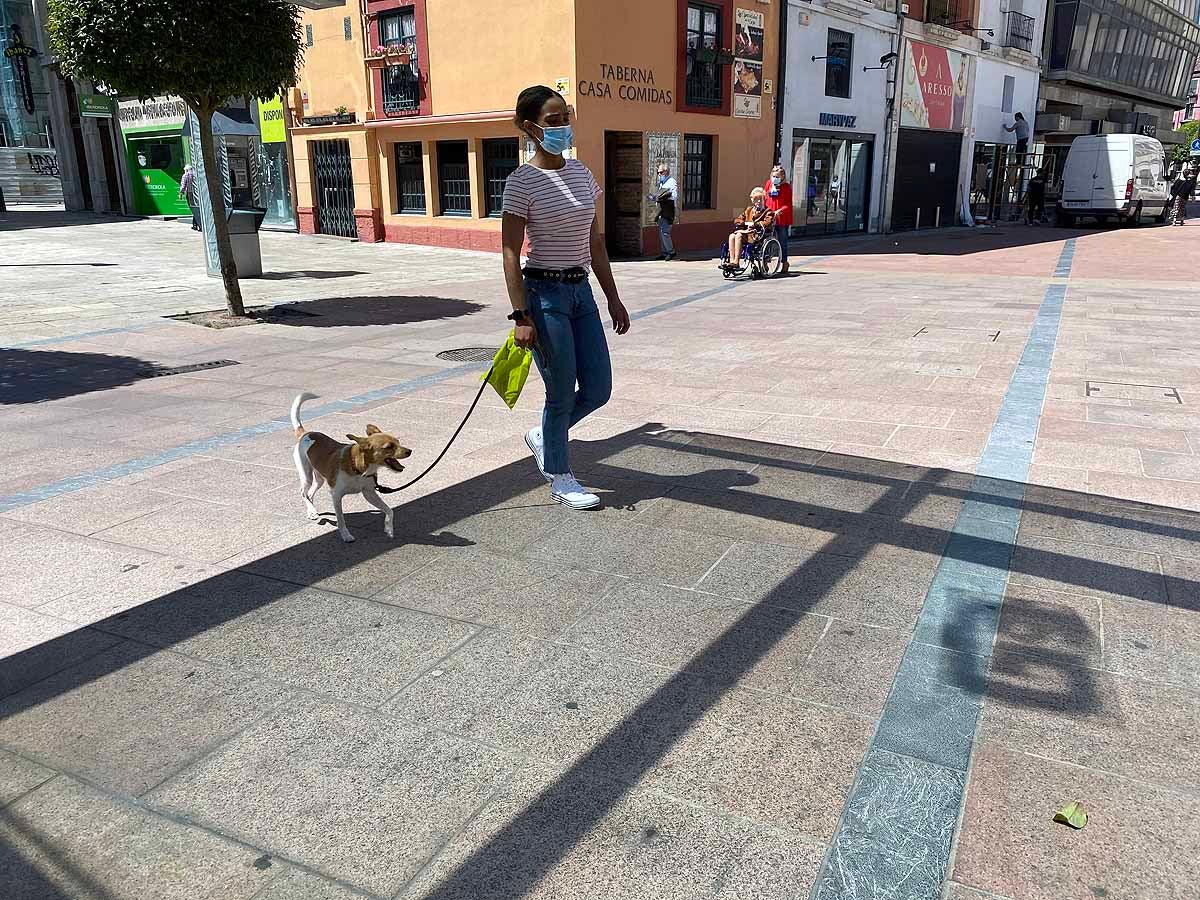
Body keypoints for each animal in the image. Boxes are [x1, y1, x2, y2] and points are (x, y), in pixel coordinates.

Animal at [290, 393, 412, 542]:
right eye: (389, 447)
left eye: (398, 442)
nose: (409, 451)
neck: (357, 468)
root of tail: (305, 433)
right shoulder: (336, 495)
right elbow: (341, 519)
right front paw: (346, 535)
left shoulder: (369, 493)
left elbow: (389, 510)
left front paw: (389, 529)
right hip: (306, 474)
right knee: (303, 492)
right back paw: (312, 509)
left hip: (320, 478)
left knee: (310, 493)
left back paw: (312, 511)